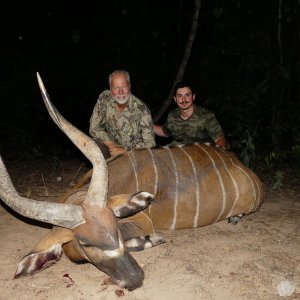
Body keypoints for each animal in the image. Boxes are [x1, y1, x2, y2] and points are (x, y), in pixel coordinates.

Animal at [0, 73, 264, 290]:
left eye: (114, 228)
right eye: (84, 241)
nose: (135, 279)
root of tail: (240, 164)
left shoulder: (141, 221)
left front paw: (152, 239)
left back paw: (234, 217)